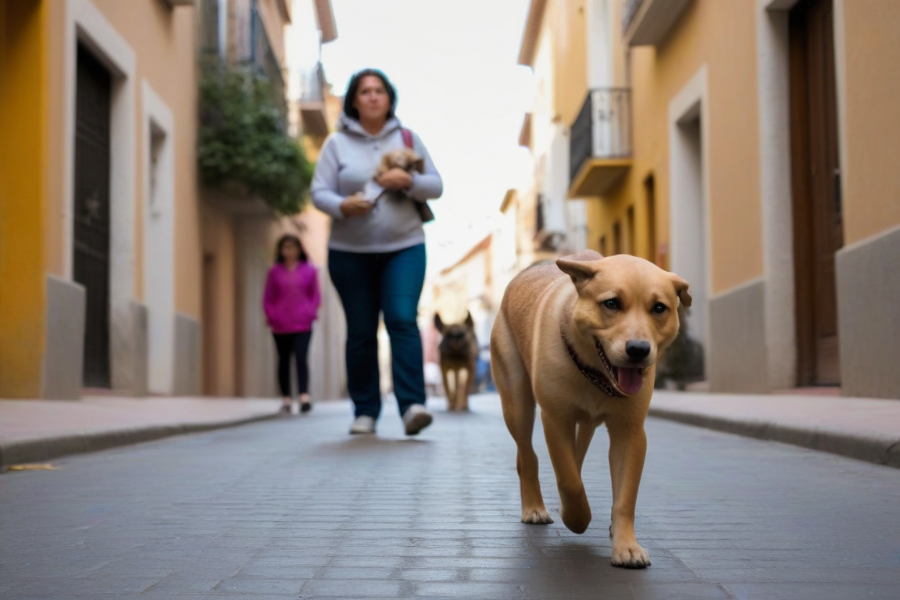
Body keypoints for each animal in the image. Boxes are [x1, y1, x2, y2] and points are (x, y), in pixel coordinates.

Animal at [492, 248, 688, 568]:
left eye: (659, 308)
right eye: (611, 303)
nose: (638, 350)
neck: (595, 373)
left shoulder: (630, 432)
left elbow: (624, 496)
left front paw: (626, 545)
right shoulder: (555, 419)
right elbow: (569, 480)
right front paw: (576, 517)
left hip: (585, 422)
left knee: (576, 453)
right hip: (517, 402)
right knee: (528, 456)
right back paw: (534, 507)